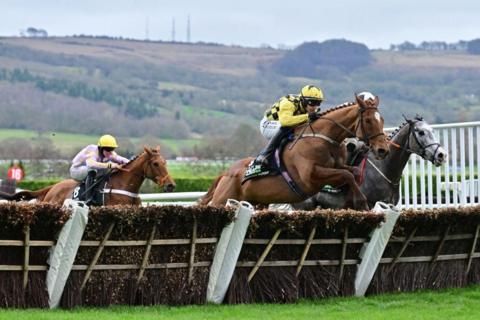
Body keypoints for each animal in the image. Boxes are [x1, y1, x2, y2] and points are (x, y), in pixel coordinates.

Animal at [0, 146, 176, 205]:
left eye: (165, 162)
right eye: (155, 164)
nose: (171, 185)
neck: (124, 187)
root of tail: (52, 188)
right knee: (91, 170)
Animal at [199, 95, 390, 210]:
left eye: (382, 120)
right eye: (368, 120)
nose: (383, 149)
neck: (322, 138)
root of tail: (226, 173)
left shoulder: (337, 166)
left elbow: (352, 172)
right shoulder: (311, 177)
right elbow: (346, 175)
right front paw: (361, 202)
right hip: (223, 200)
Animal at [294, 115, 448, 210]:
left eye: (432, 130)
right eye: (421, 132)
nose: (442, 155)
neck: (384, 169)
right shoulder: (366, 205)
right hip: (304, 206)